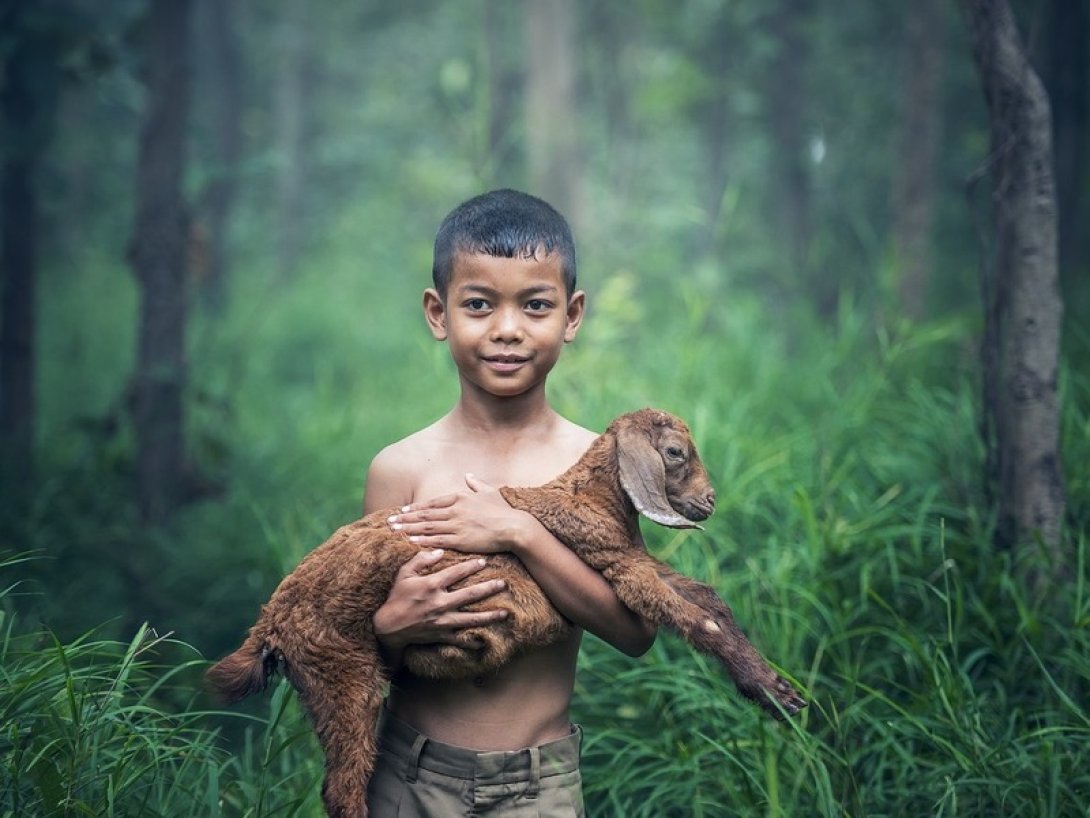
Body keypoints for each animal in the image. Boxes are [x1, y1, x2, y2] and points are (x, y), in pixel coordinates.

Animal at [208, 410, 806, 818]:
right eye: (676, 452)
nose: (709, 502)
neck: (590, 500)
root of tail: (269, 625)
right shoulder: (616, 566)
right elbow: (700, 621)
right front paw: (774, 693)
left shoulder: (634, 560)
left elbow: (710, 599)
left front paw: (777, 690)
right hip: (341, 673)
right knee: (343, 787)